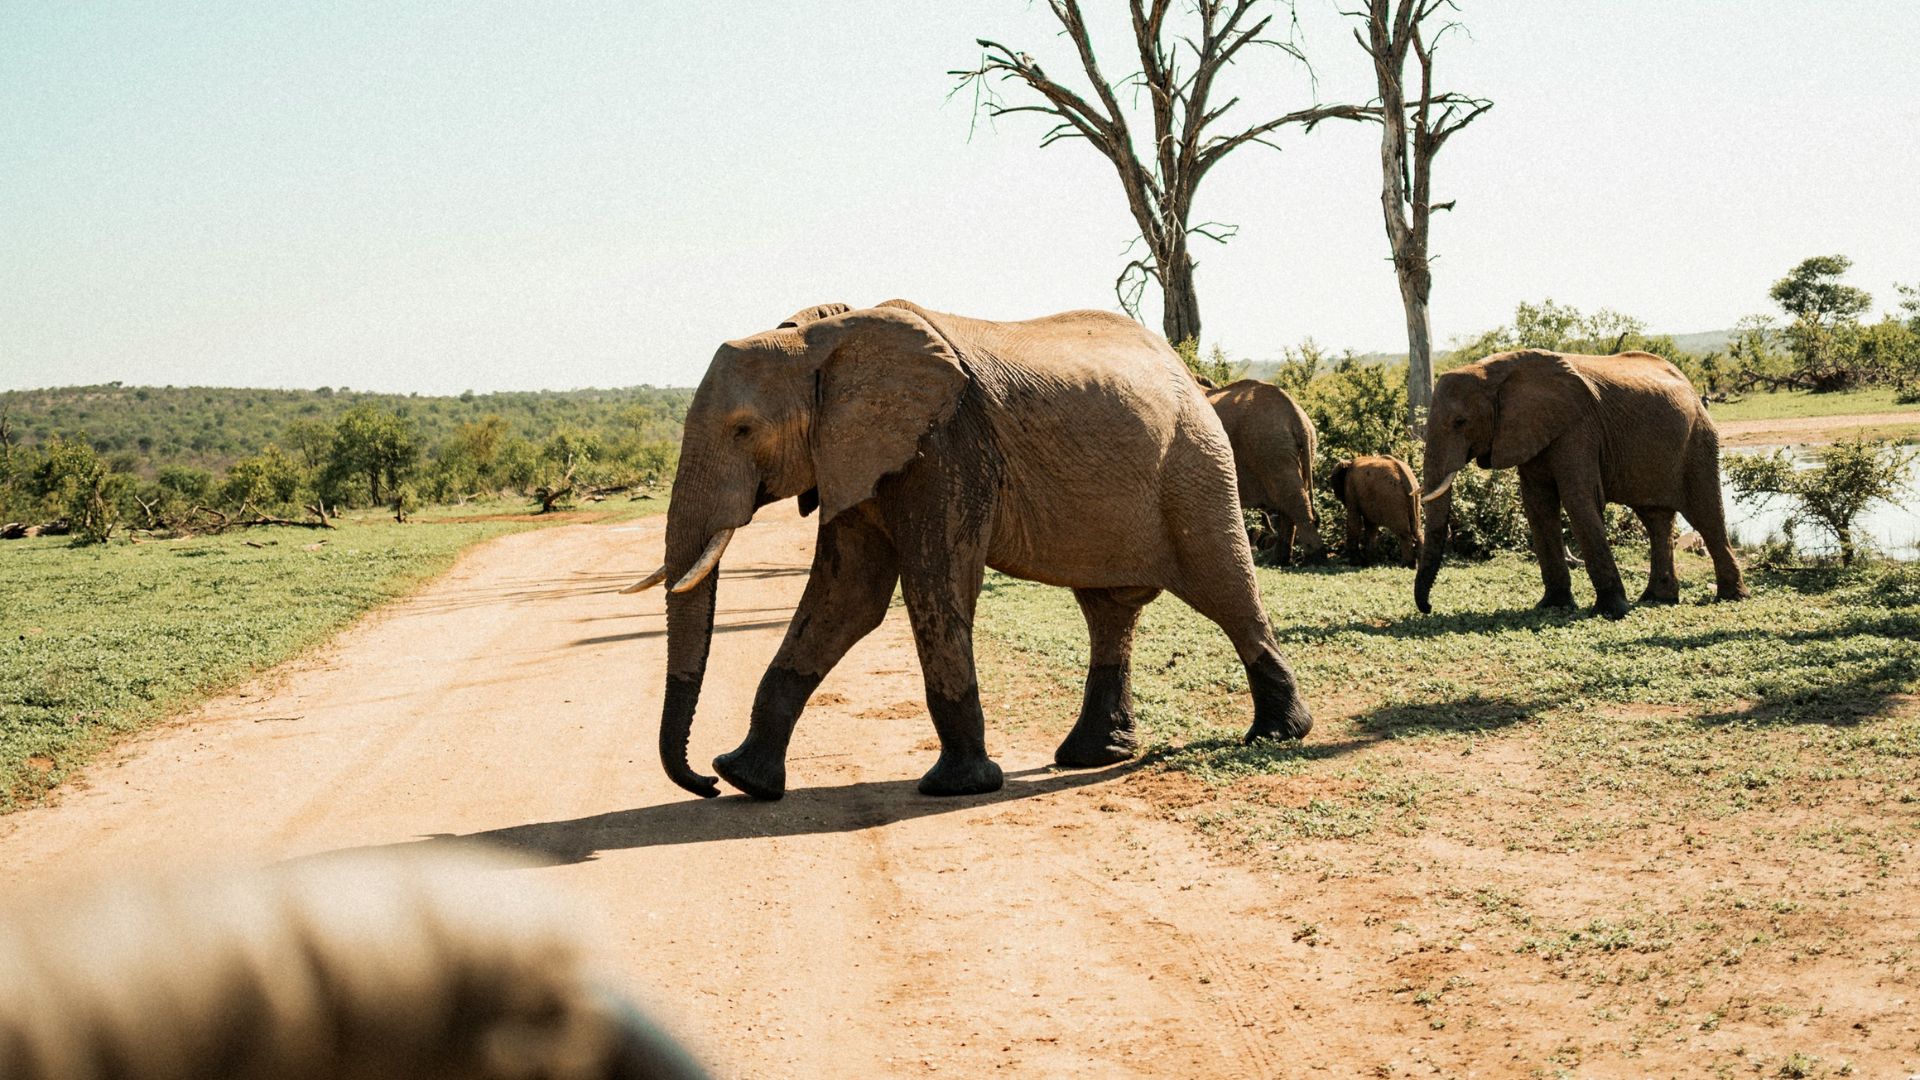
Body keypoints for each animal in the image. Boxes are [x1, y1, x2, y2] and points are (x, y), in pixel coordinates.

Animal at [1204, 380, 1326, 564]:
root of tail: (1297, 418)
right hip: (1297, 451)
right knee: (1290, 501)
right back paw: (1280, 560)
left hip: (1271, 449)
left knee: (1294, 501)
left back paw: (1314, 558)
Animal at [1414, 349, 1749, 620]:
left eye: (1460, 422)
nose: (1428, 608)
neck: (1491, 371)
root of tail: (1691, 386)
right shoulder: (1531, 432)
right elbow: (1538, 508)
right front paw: (1552, 606)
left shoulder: (1578, 428)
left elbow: (1578, 501)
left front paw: (1613, 612)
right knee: (1656, 519)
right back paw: (1657, 599)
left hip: (1699, 440)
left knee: (1706, 516)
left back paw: (1730, 597)